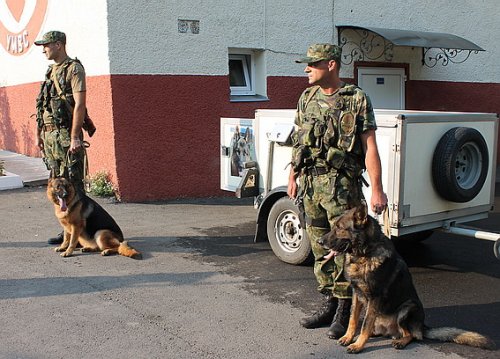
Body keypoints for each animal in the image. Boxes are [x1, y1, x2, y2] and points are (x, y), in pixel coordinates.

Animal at [318, 205, 494, 354]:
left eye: (339, 228)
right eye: (333, 226)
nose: (319, 242)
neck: (365, 255)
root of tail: (422, 326)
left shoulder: (374, 297)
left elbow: (365, 325)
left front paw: (358, 345)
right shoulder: (357, 294)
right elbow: (353, 320)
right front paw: (348, 337)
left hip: (407, 308)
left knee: (412, 335)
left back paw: (400, 341)